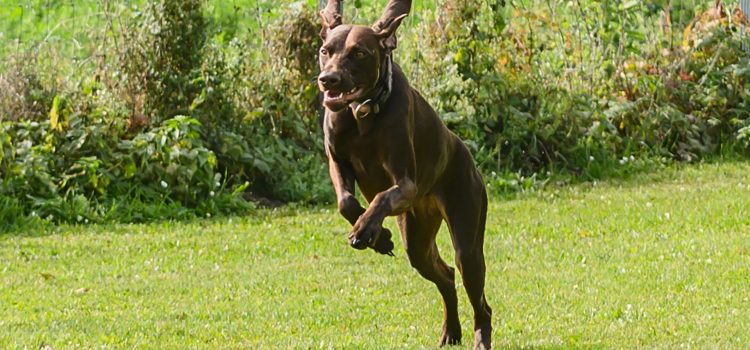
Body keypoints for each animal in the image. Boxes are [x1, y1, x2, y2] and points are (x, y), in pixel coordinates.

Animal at [318, 1, 494, 348]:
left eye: (359, 53)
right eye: (324, 50)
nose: (328, 79)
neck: (363, 113)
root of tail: (467, 156)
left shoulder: (407, 183)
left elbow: (382, 197)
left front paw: (366, 231)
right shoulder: (337, 160)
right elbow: (346, 202)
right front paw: (378, 236)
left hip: (467, 234)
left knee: (478, 296)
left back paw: (480, 339)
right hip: (417, 238)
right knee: (445, 274)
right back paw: (451, 331)